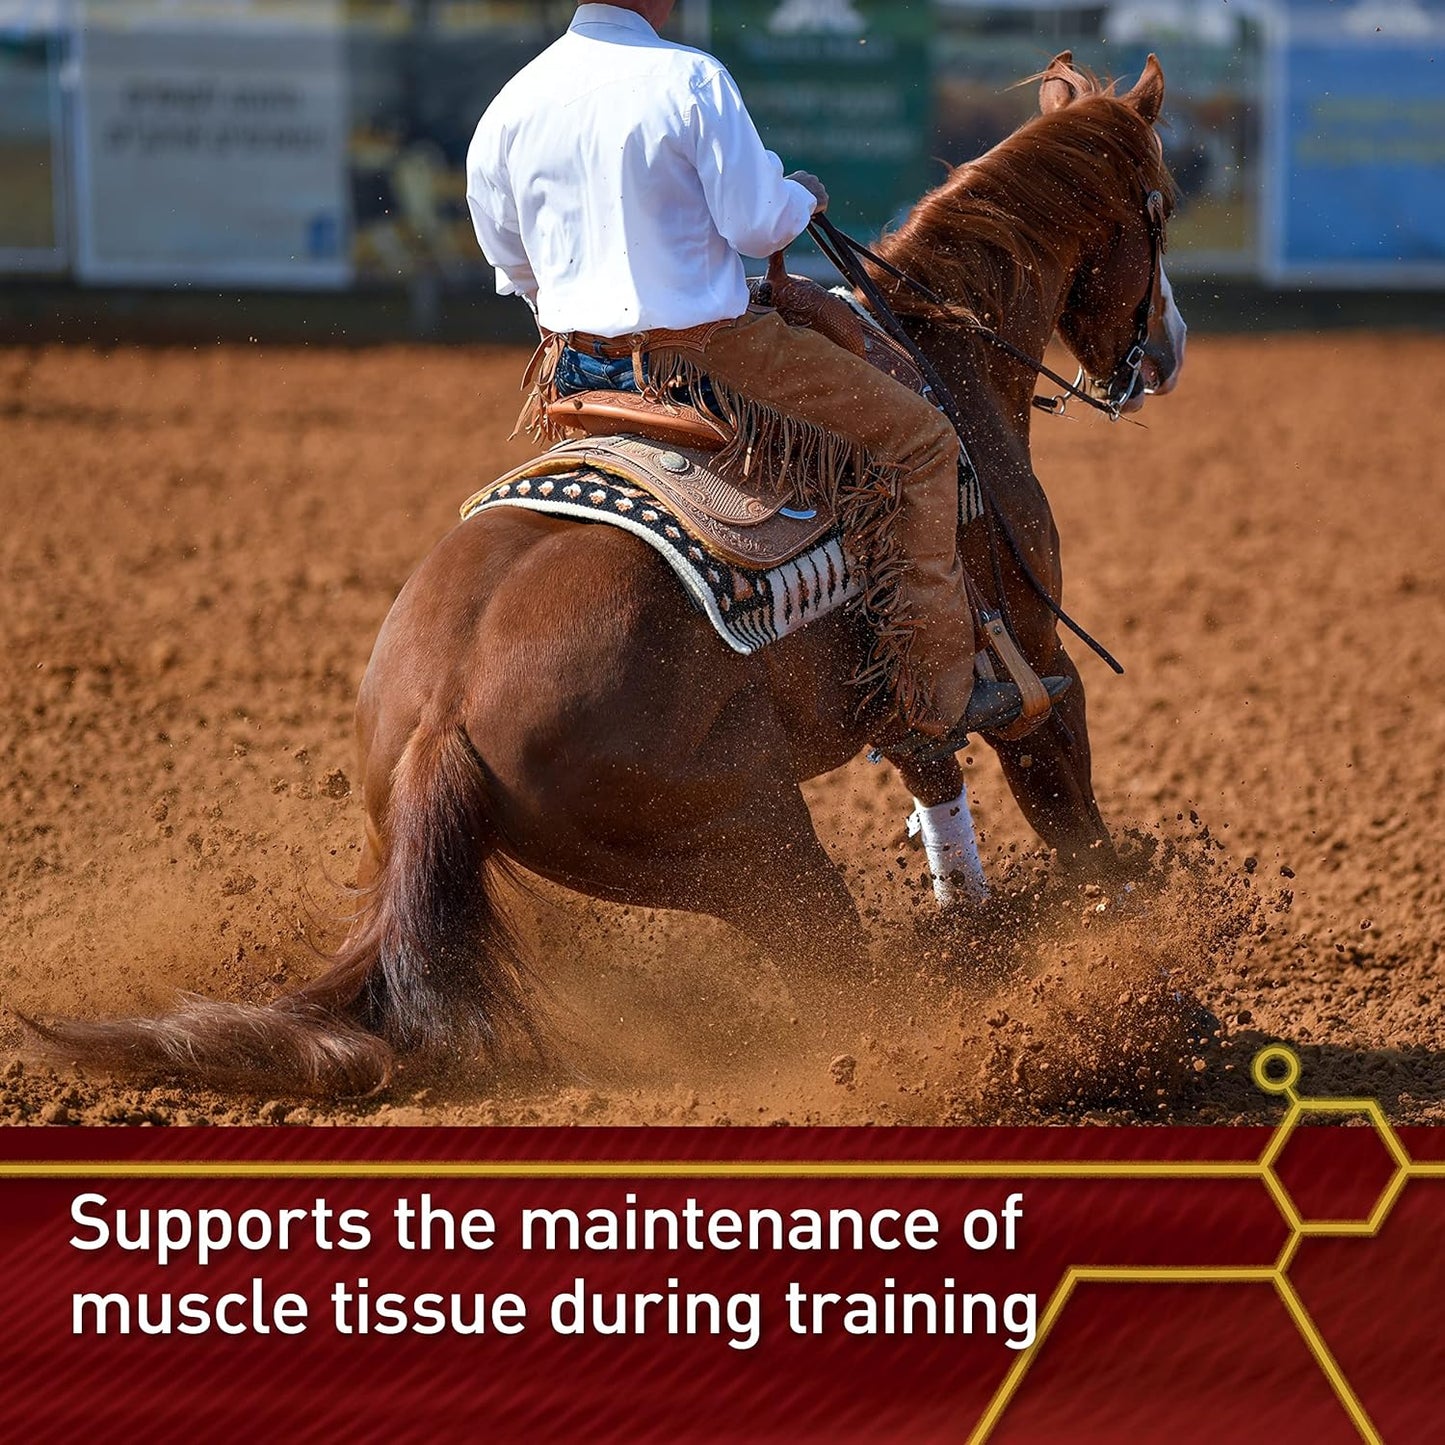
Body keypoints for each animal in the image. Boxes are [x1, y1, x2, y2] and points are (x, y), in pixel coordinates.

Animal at [36, 55, 1185, 1096]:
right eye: (1161, 209)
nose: (1164, 354)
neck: (943, 359)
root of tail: (438, 721)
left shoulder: (908, 699)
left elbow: (939, 790)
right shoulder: (1031, 657)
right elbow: (1069, 813)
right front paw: (1131, 941)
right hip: (758, 846)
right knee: (842, 995)